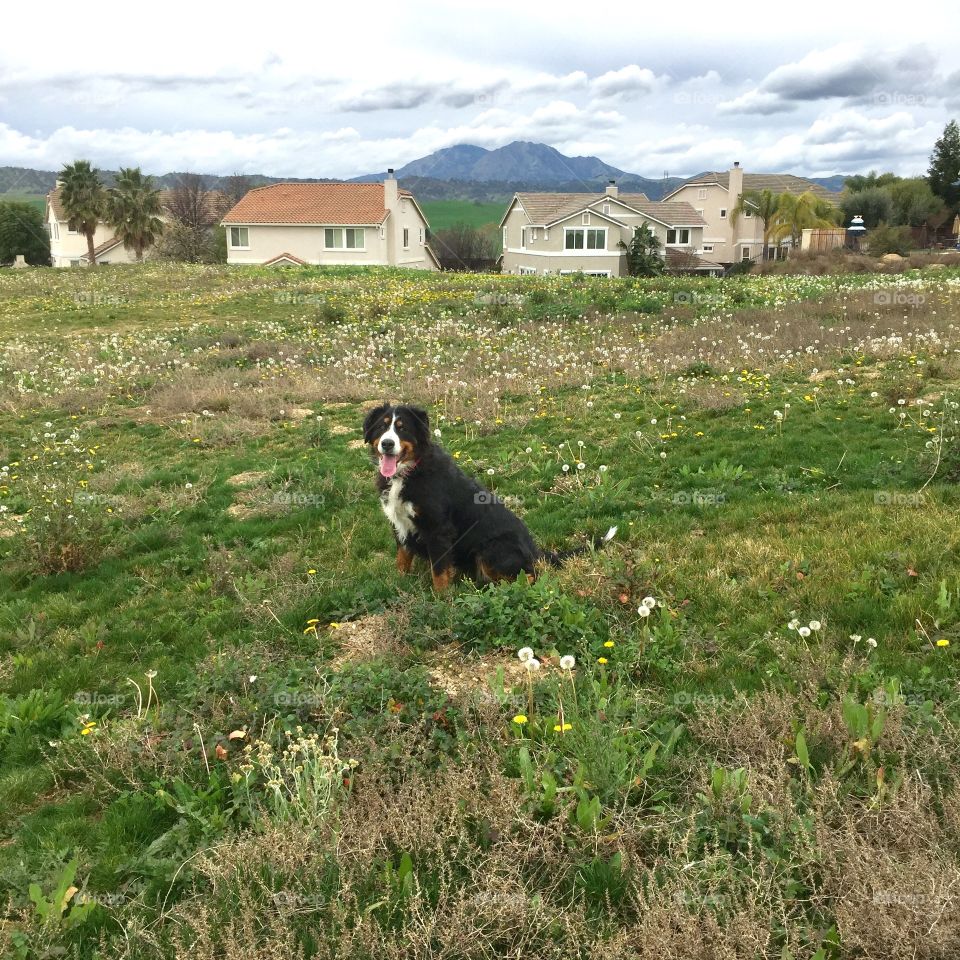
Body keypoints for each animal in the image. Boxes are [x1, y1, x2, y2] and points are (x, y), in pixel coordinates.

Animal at [360, 402, 616, 588]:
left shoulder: (438, 529)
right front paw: (398, 584)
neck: (410, 471)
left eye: (402, 428)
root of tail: (535, 551)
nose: (387, 444)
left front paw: (440, 602)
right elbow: (402, 558)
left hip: (490, 549)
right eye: (382, 427)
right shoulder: (399, 523)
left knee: (529, 577)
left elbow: (439, 573)